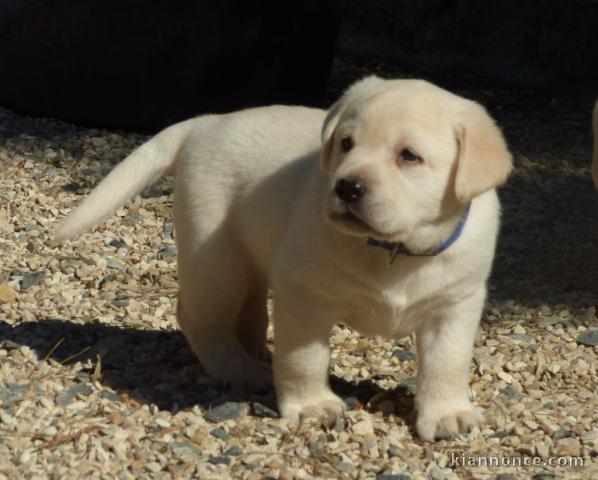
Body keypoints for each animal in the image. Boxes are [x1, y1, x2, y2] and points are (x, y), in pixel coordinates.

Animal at [57, 76, 516, 438]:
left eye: (409, 156)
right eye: (346, 144)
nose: (346, 187)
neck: (394, 251)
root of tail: (205, 122)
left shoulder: (455, 305)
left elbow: (448, 362)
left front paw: (447, 414)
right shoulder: (303, 297)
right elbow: (303, 357)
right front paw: (312, 405)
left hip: (247, 265)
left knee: (247, 314)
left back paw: (255, 354)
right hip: (217, 261)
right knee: (199, 320)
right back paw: (241, 369)